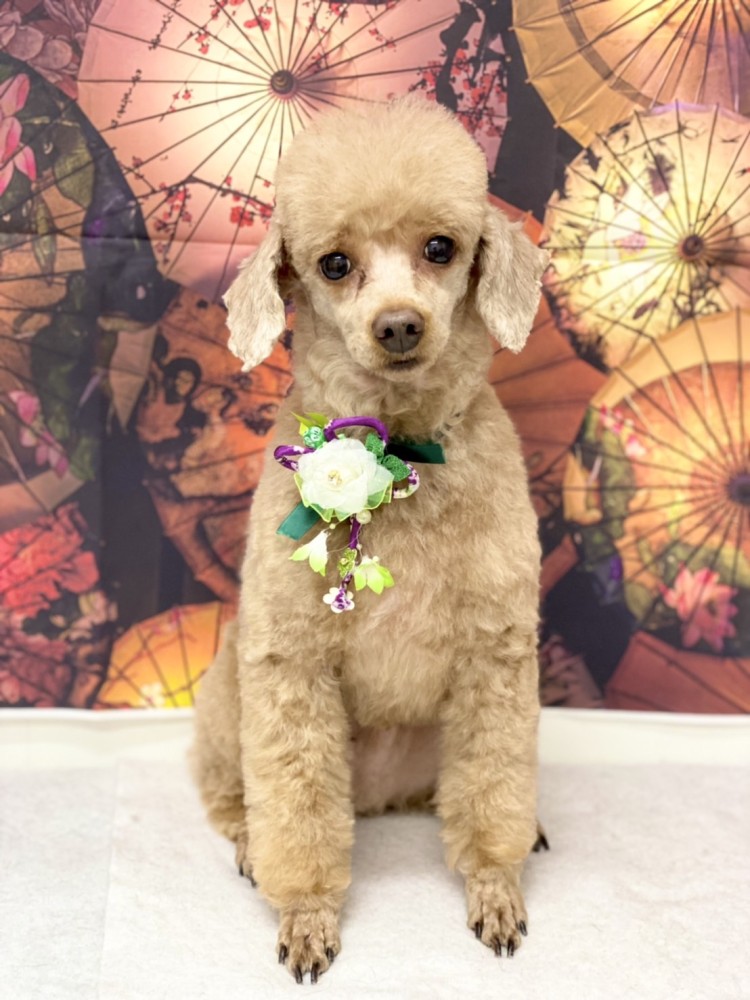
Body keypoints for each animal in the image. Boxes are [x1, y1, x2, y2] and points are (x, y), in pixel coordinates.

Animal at [191, 96, 547, 982]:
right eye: (334, 264)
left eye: (441, 248)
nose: (399, 326)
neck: (401, 451)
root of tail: (383, 794)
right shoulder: (289, 664)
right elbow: (295, 805)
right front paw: (306, 914)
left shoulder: (497, 655)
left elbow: (493, 789)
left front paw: (495, 886)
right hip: (226, 696)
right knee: (234, 795)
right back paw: (247, 841)